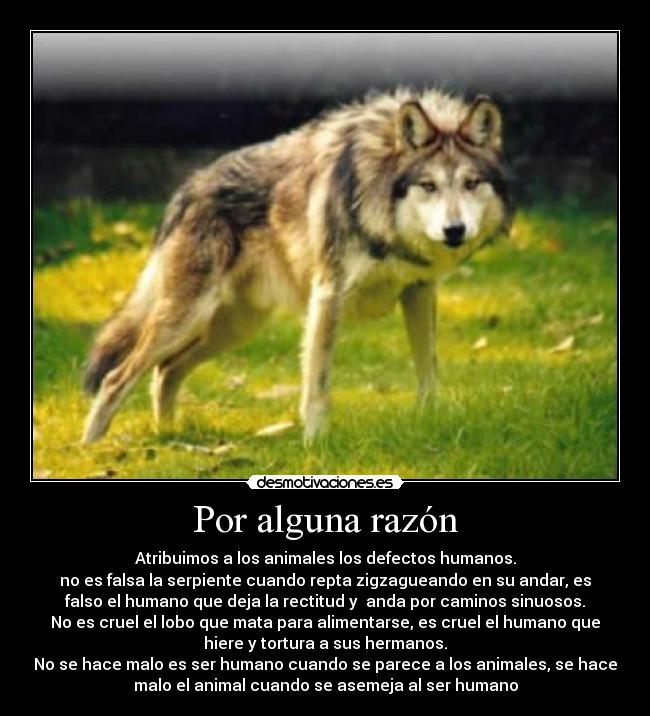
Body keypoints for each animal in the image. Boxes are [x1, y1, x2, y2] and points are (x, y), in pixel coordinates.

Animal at [81, 89, 513, 444]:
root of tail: (187, 189)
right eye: (429, 186)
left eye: (472, 183)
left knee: (165, 372)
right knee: (116, 378)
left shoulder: (420, 291)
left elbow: (428, 370)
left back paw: (169, 435)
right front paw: (315, 443)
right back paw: (91, 448)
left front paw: (432, 422)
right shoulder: (327, 295)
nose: (454, 230)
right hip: (187, 319)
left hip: (234, 328)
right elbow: (317, 382)